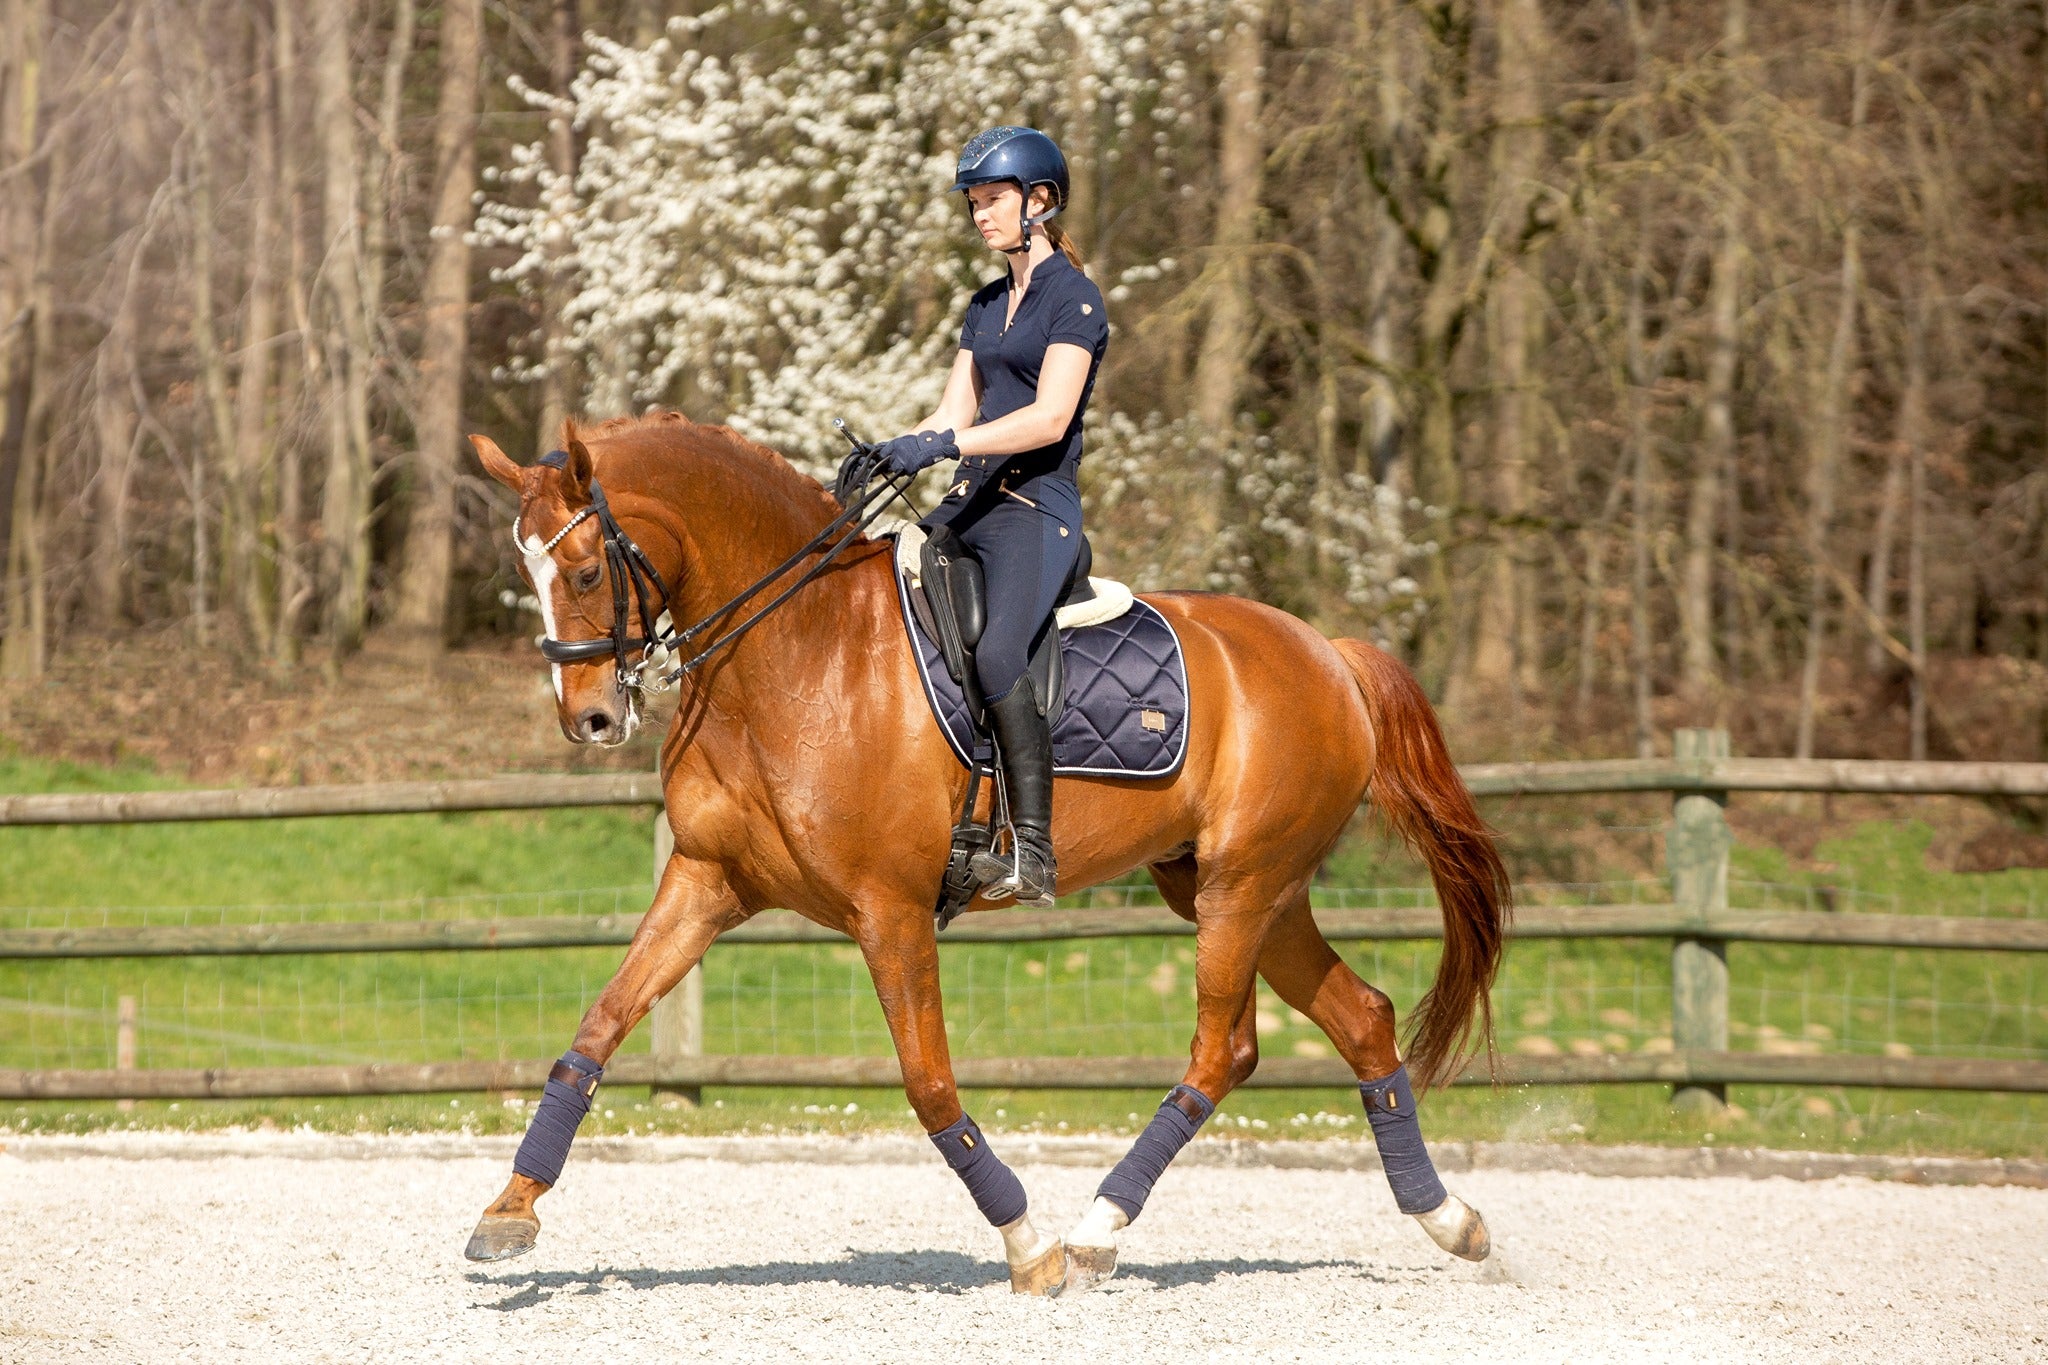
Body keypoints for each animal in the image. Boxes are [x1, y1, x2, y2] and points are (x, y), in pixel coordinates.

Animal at [471, 413, 1515, 1293]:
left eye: (588, 572)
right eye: (529, 569)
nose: (589, 719)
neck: (796, 651)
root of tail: (1329, 652)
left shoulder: (889, 909)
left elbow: (931, 1086)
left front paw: (1029, 1247)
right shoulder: (705, 881)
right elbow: (595, 1029)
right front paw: (509, 1212)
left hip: (1241, 887)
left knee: (1222, 1050)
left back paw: (1094, 1230)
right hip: (1247, 890)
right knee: (1361, 1018)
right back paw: (1452, 1221)